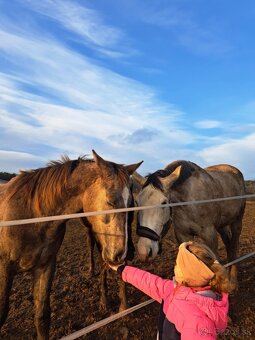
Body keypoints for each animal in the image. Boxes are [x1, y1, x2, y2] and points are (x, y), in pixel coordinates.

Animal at [0, 151, 142, 340]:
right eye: (111, 201)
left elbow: (42, 317)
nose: (122, 254)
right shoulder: (4, 267)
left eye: (131, 205)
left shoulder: (46, 266)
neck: (32, 217)